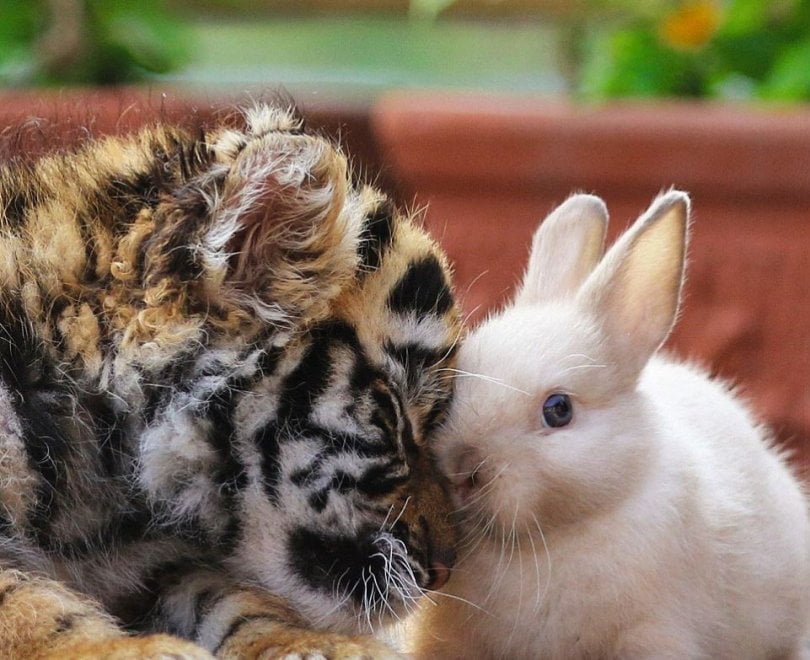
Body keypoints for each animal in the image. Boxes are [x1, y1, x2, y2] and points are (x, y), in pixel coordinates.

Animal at [0, 103, 461, 658]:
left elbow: (227, 595)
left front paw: (318, 642)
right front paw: (128, 650)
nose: (446, 568)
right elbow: (19, 600)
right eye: (392, 411)